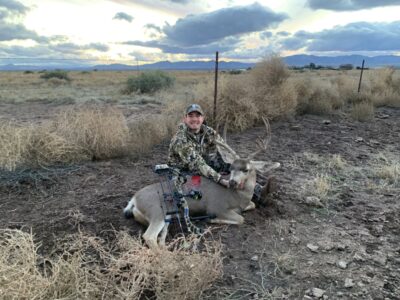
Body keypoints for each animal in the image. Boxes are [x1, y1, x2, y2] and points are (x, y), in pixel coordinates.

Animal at [123, 117, 280, 248]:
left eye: (246, 169)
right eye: (232, 167)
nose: (233, 182)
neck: (237, 197)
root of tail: (134, 199)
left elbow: (252, 205)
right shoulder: (217, 207)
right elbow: (241, 219)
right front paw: (212, 221)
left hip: (166, 216)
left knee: (160, 239)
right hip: (157, 211)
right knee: (149, 237)